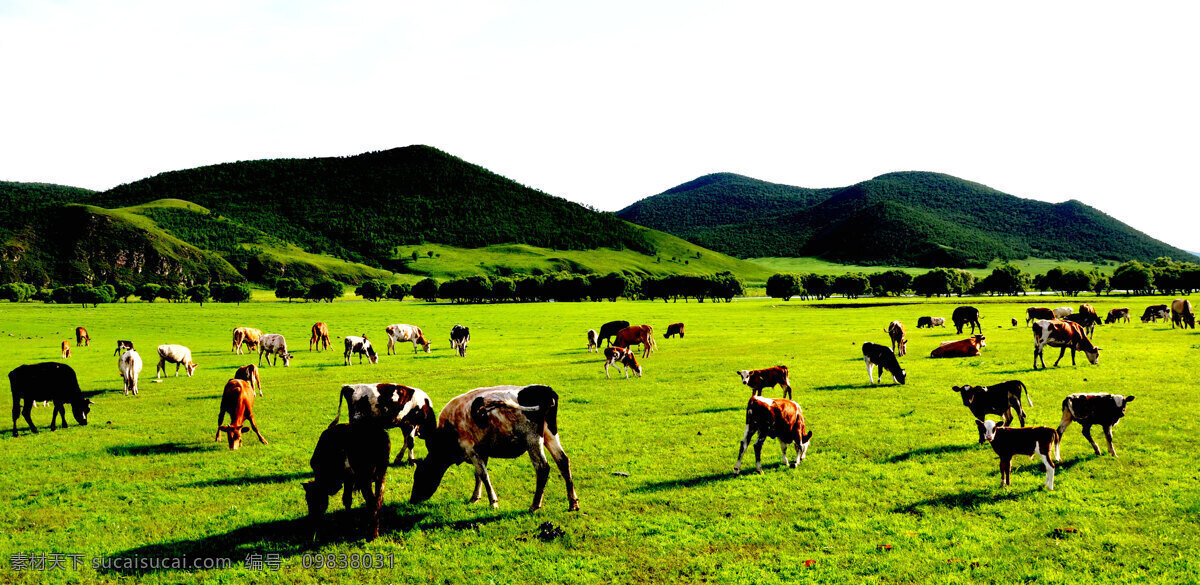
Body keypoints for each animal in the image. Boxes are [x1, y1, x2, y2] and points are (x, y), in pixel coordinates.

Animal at [412, 383, 580, 513]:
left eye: (419, 475)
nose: (412, 500)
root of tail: (545, 390)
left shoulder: (471, 449)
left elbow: (483, 475)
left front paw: (493, 502)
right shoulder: (481, 451)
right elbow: (478, 475)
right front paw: (475, 497)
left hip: (532, 440)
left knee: (543, 468)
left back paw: (535, 505)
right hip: (550, 434)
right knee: (563, 461)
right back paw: (573, 503)